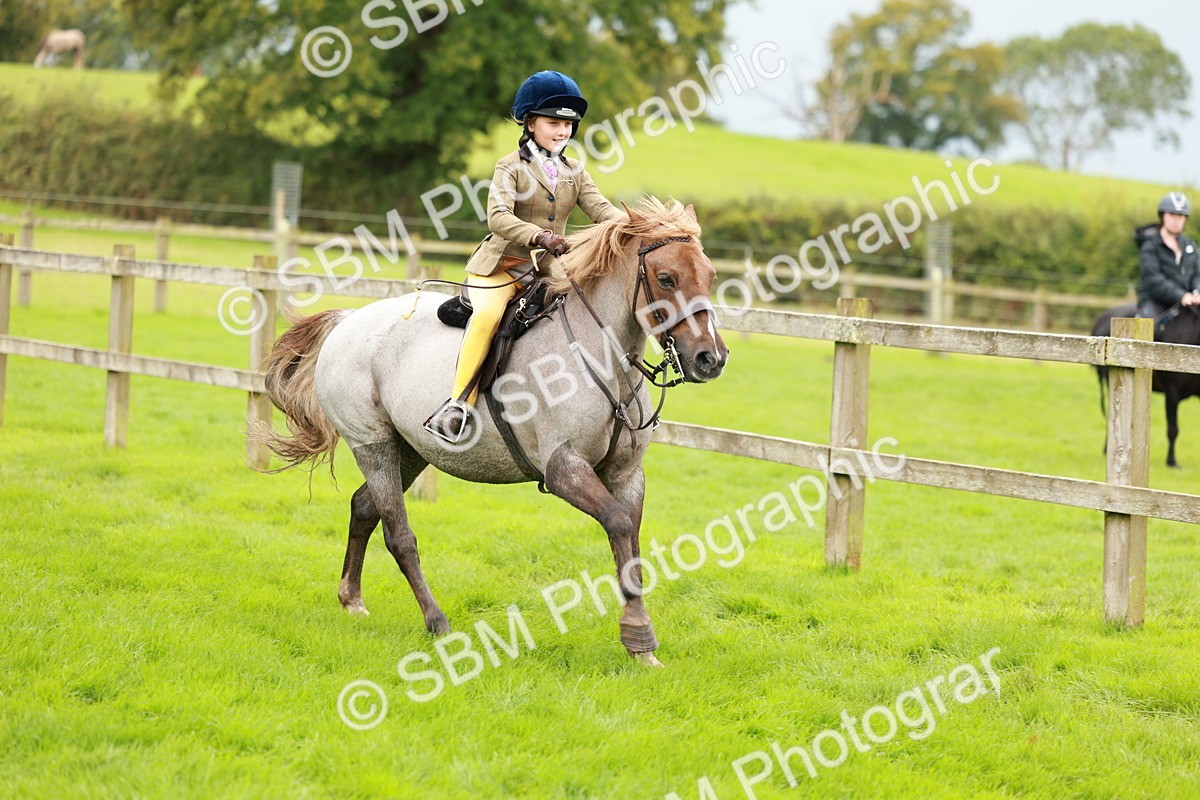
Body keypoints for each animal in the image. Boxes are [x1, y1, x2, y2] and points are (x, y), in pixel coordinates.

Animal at [253, 197, 728, 665]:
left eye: (710, 276)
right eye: (666, 278)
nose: (711, 359)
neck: (600, 357)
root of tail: (348, 320)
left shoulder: (627, 475)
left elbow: (630, 544)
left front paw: (639, 646)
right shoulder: (563, 469)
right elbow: (617, 523)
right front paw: (639, 634)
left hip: (410, 450)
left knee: (365, 508)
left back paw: (352, 599)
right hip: (374, 446)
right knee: (398, 534)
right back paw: (437, 622)